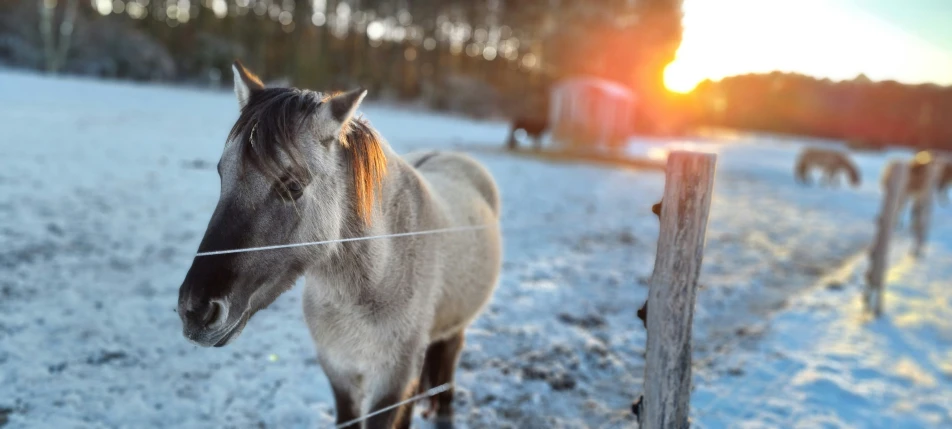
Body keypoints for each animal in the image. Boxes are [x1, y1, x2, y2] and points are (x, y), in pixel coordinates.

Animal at [178, 60, 506, 428]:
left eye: (292, 186)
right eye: (222, 174)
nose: (195, 310)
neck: (378, 278)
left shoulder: (392, 380)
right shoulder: (339, 370)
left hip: (454, 330)